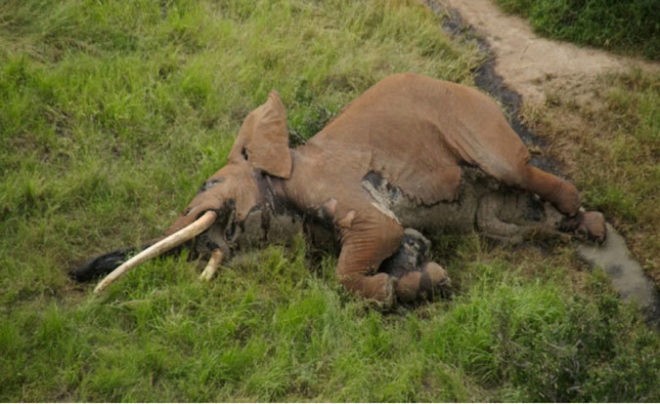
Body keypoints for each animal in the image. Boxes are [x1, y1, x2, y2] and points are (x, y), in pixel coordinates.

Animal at [71, 73, 606, 307]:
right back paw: (574, 230)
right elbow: (406, 240)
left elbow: (377, 235)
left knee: (515, 169)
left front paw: (390, 291)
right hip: (490, 213)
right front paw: (423, 280)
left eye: (208, 185)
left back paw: (586, 223)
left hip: (475, 120)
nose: (77, 275)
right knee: (501, 224)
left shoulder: (327, 184)